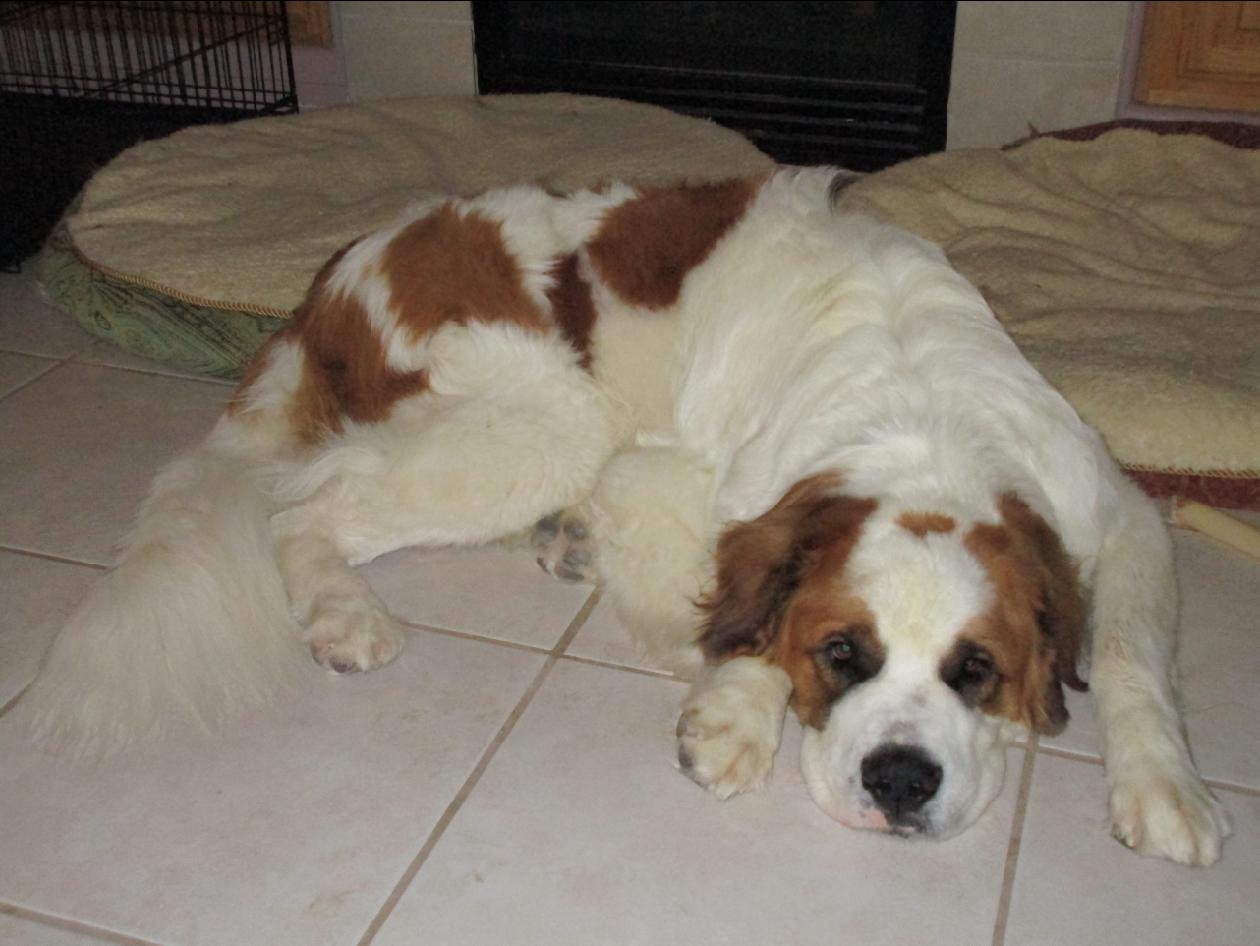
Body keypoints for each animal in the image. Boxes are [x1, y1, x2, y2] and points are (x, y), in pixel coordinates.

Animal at [19, 168, 1229, 865]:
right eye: (840, 652)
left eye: (977, 669)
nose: (899, 781)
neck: (921, 416)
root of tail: (334, 280)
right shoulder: (674, 475)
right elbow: (739, 605)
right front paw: (734, 711)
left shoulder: (1114, 509)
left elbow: (1130, 652)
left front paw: (1164, 784)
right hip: (551, 420)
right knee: (302, 505)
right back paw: (344, 611)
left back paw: (551, 540)